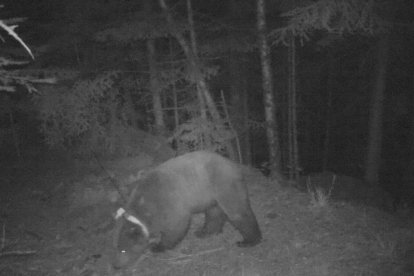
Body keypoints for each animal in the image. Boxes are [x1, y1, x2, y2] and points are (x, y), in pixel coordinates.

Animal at [112, 150, 262, 268]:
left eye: (123, 250)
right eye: (117, 247)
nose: (116, 265)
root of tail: (233, 164)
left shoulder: (170, 203)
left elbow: (176, 227)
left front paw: (158, 246)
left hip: (223, 184)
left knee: (237, 212)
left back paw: (248, 240)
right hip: (211, 194)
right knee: (214, 213)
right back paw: (205, 232)